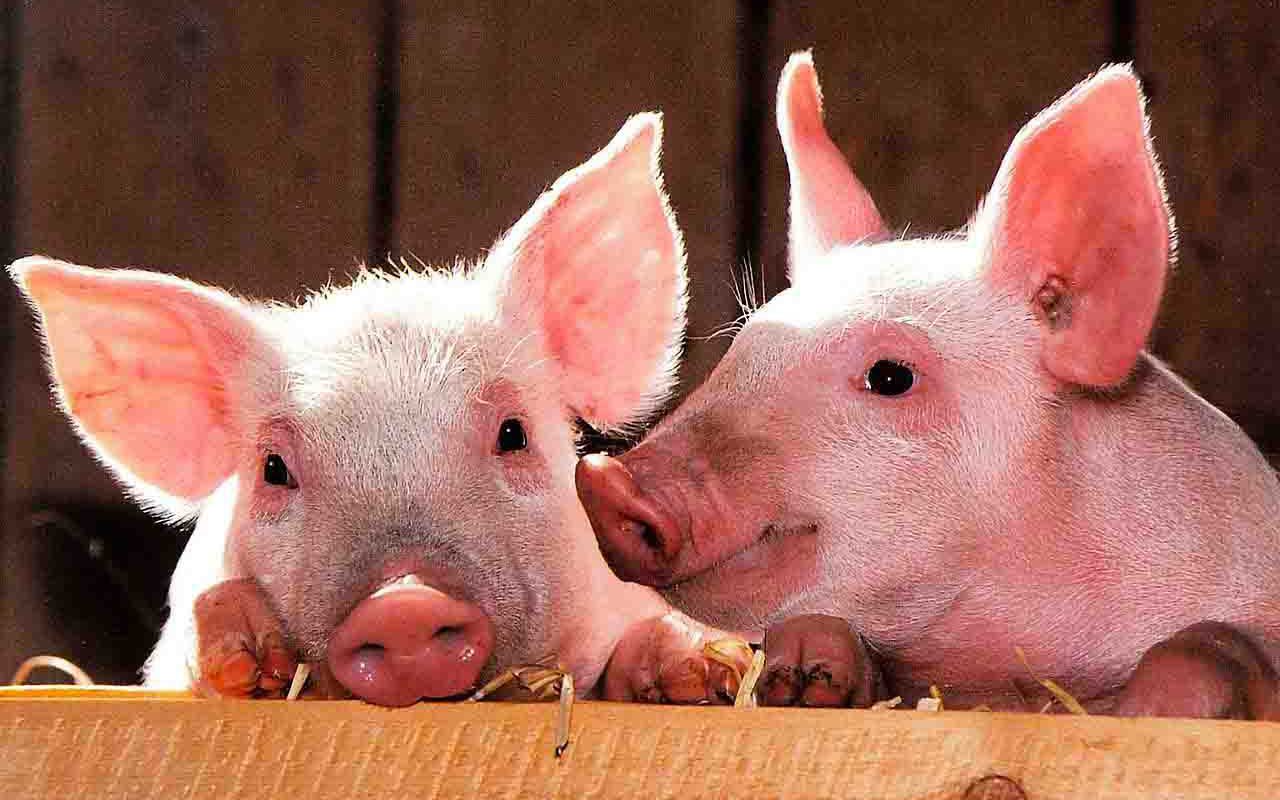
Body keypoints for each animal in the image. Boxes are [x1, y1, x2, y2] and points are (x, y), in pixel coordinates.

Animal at [577, 55, 1280, 718]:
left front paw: (1149, 711)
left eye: (891, 376)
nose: (605, 478)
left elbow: (1213, 644)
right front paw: (794, 673)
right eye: (745, 349)